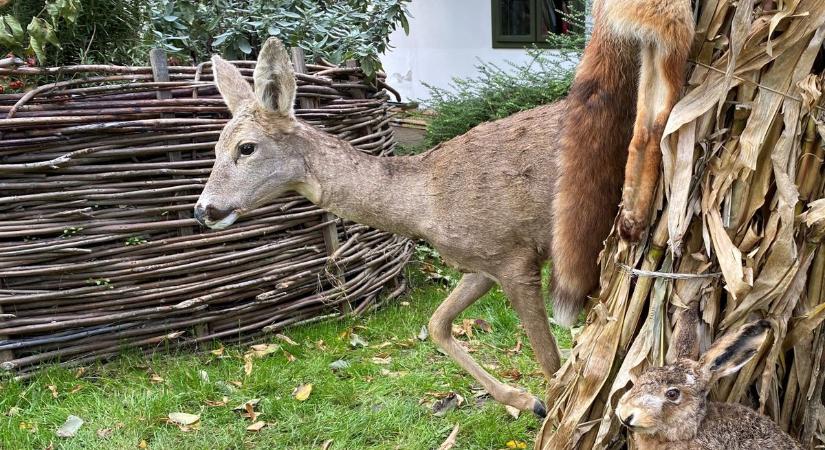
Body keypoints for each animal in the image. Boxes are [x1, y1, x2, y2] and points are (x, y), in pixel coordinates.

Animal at [195, 38, 568, 418]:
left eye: (246, 147)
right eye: (214, 148)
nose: (202, 210)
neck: (423, 205)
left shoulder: (515, 258)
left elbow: (551, 362)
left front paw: (552, 410)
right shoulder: (482, 262)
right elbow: (436, 324)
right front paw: (527, 400)